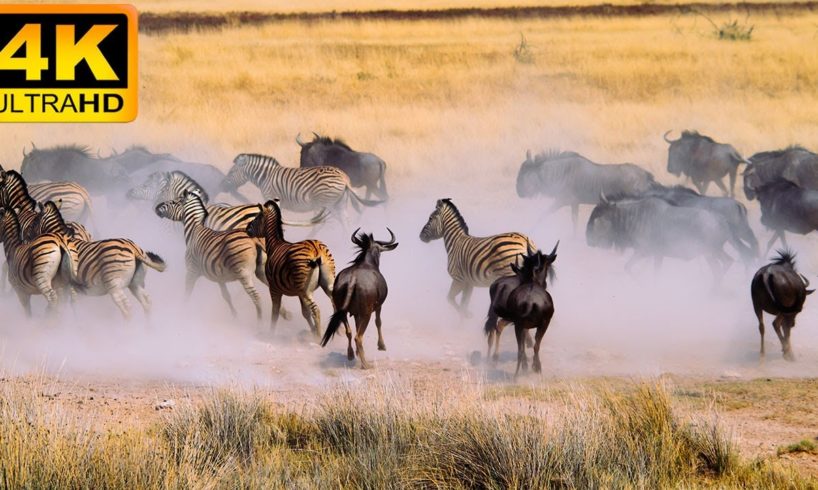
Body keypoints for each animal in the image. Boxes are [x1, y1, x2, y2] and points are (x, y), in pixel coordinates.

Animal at [29, 200, 167, 320]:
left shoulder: (65, 284)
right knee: (147, 302)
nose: (28, 239)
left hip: (114, 285)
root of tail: (134, 249)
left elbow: (66, 304)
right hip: (135, 284)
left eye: (34, 223)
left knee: (127, 308)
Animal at [170, 189, 268, 320]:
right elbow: (226, 295)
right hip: (260, 269)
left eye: (174, 202)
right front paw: (235, 315)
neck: (194, 229)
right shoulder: (218, 276)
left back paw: (261, 323)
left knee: (256, 297)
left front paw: (181, 312)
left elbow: (187, 293)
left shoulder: (191, 270)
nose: (157, 208)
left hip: (244, 273)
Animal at [218, 153, 380, 226]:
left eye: (231, 172)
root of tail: (344, 178)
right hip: (339, 203)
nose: (223, 186)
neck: (266, 177)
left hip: (326, 202)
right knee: (345, 221)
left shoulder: (271, 196)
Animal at [244, 199, 334, 336]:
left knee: (316, 310)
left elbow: (275, 312)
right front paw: (312, 332)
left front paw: (271, 334)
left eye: (257, 217)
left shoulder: (274, 288)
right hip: (327, 284)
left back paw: (320, 338)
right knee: (336, 305)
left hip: (305, 289)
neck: (275, 245)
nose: (246, 229)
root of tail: (316, 250)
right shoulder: (299, 292)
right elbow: (305, 313)